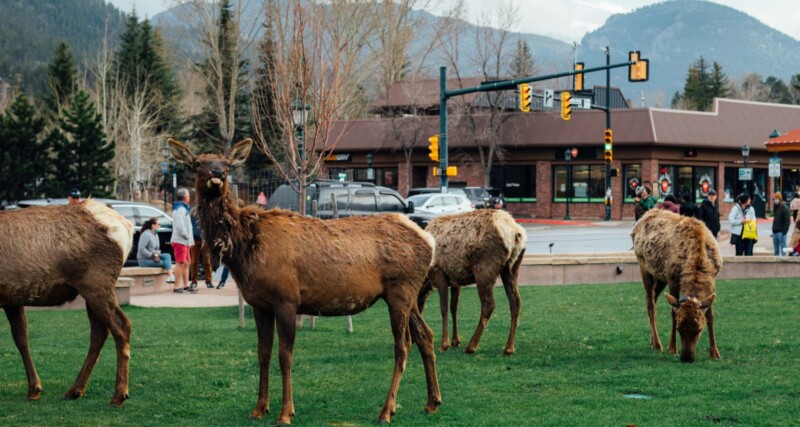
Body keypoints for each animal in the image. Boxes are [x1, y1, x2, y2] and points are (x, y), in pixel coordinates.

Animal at [0, 200, 134, 406]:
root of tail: (126, 227)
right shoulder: (12, 299)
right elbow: (21, 339)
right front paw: (34, 388)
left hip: (97, 286)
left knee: (121, 327)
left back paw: (119, 394)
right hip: (92, 292)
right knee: (99, 333)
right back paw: (75, 390)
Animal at [168, 138, 441, 425]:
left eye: (227, 164)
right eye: (198, 163)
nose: (217, 174)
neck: (245, 248)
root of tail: (429, 240)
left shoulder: (286, 298)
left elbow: (285, 356)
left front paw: (285, 412)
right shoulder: (260, 304)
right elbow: (263, 354)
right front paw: (259, 408)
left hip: (400, 289)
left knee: (403, 344)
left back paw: (387, 410)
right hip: (409, 293)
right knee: (425, 335)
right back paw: (432, 402)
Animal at [418, 209, 527, 355]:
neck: (426, 276)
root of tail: (515, 233)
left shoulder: (439, 274)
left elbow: (444, 308)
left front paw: (444, 344)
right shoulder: (455, 281)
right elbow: (454, 308)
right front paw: (455, 341)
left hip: (484, 270)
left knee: (488, 304)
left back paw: (471, 346)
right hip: (512, 268)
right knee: (515, 302)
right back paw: (509, 348)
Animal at [631, 209, 722, 363]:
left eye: (699, 329)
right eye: (679, 328)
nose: (687, 358)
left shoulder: (712, 280)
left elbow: (710, 315)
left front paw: (715, 353)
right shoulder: (673, 279)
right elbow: (673, 312)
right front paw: (672, 348)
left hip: (660, 276)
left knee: (652, 298)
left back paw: (651, 341)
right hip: (644, 266)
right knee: (650, 303)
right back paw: (658, 344)